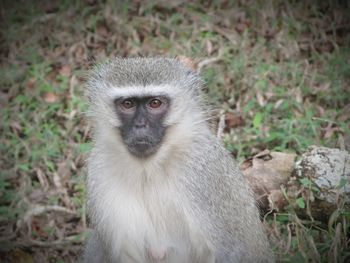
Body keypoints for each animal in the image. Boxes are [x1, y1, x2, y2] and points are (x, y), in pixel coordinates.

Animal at [83, 57, 274, 263]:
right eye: (128, 104)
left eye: (155, 103)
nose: (140, 125)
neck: (148, 169)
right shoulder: (99, 170)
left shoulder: (205, 173)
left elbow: (237, 250)